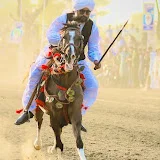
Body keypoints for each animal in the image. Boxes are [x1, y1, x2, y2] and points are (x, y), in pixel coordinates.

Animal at [33, 21, 87, 160]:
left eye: (80, 38)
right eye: (63, 37)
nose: (69, 56)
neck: (65, 82)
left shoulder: (75, 113)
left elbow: (78, 141)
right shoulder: (53, 113)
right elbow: (59, 142)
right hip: (39, 107)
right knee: (39, 122)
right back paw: (38, 144)